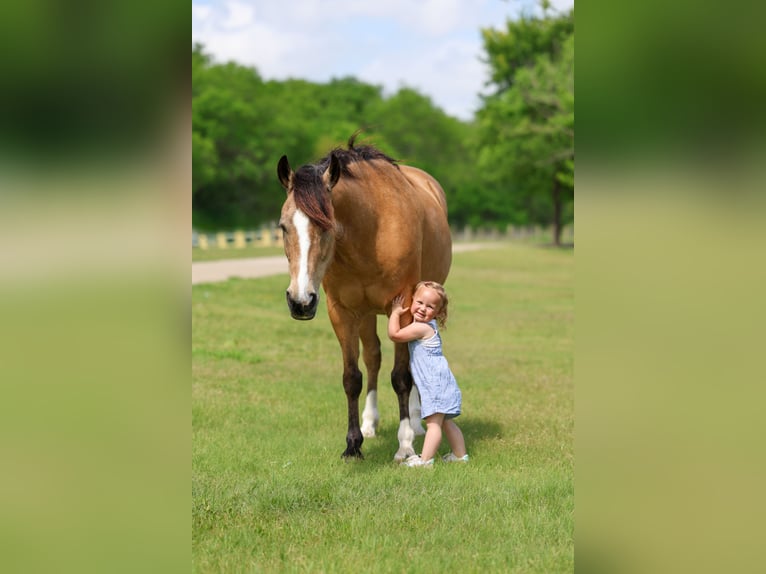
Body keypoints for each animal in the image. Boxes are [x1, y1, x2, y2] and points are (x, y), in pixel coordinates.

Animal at [276, 135, 452, 460]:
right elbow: (352, 377)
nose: (300, 301)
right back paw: (370, 423)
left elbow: (401, 376)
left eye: (327, 226)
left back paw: (416, 424)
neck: (371, 231)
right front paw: (353, 444)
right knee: (373, 357)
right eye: (283, 227)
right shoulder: (342, 312)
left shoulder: (404, 308)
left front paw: (405, 444)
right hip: (367, 313)